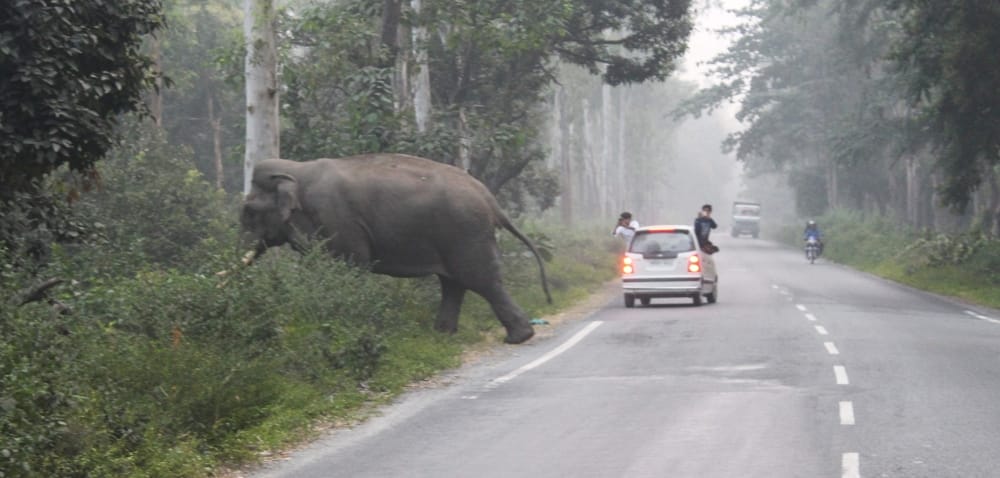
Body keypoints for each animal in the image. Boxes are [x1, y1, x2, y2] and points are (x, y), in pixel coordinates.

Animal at [240, 154, 552, 344]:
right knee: (454, 283)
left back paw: (518, 337)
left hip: (465, 232)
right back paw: (442, 335)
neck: (296, 169)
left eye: (249, 211)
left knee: (479, 279)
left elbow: (350, 267)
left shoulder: (337, 220)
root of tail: (490, 199)